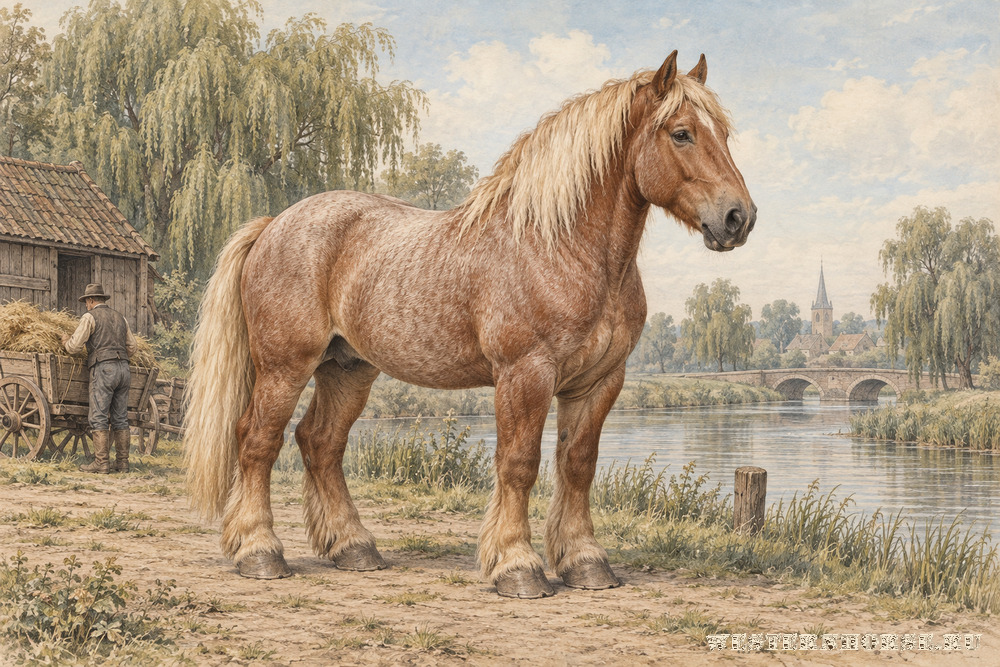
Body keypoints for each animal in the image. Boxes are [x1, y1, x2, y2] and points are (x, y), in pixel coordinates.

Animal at [183, 51, 756, 598]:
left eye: (725, 134)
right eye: (681, 133)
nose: (738, 218)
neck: (560, 246)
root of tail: (273, 224)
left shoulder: (598, 382)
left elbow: (578, 465)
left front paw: (585, 562)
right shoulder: (525, 376)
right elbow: (519, 464)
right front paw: (517, 567)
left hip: (348, 369)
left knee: (320, 443)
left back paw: (353, 547)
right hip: (284, 366)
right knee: (257, 442)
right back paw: (259, 552)